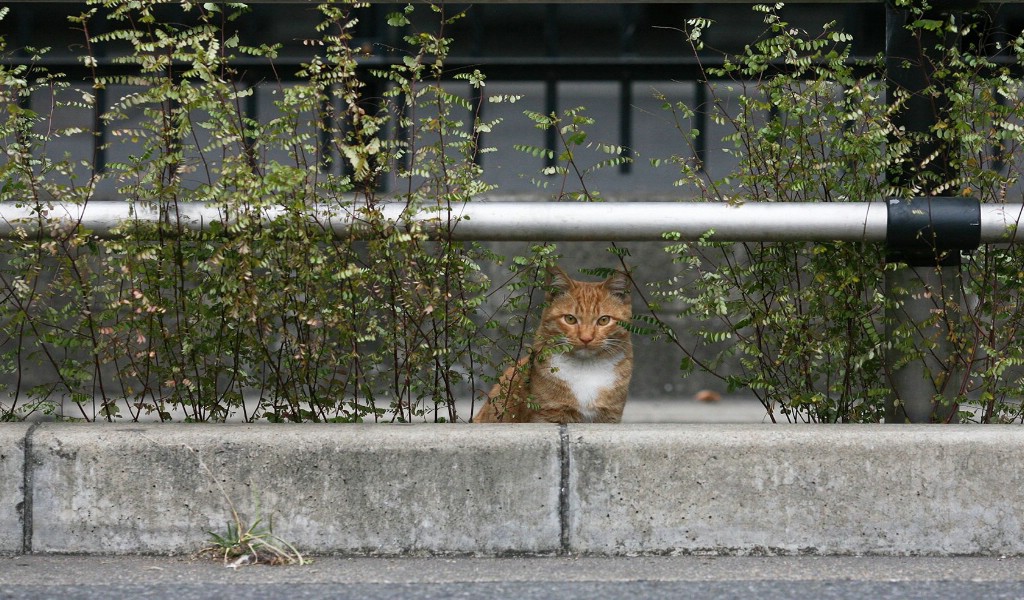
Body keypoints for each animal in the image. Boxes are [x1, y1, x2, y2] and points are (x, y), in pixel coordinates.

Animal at [471, 264, 630, 421]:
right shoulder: (548, 415)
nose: (586, 338)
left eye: (604, 320)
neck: (586, 369)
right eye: (570, 319)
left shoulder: (610, 416)